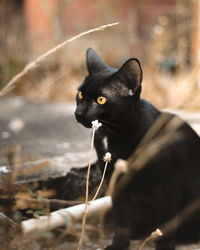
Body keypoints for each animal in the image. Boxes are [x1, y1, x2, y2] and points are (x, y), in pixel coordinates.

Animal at [75, 47, 200, 249]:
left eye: (101, 100)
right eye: (79, 95)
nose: (78, 113)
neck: (112, 136)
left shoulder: (169, 187)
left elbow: (165, 225)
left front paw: (164, 245)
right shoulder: (116, 183)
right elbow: (121, 219)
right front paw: (119, 244)